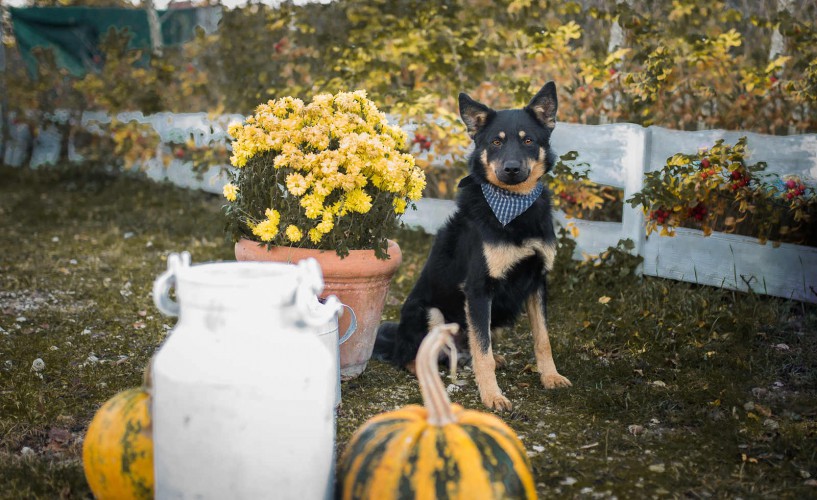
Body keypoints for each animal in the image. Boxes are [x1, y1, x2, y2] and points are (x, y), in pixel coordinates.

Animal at [372, 83, 572, 410]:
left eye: (528, 140)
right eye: (496, 142)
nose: (511, 169)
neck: (514, 208)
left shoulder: (538, 281)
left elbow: (542, 339)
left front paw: (550, 377)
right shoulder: (479, 288)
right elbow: (483, 352)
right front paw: (492, 395)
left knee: (467, 352)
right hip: (431, 314)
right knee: (415, 357)